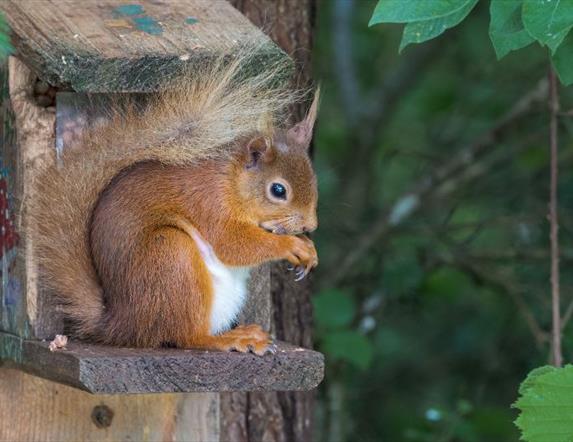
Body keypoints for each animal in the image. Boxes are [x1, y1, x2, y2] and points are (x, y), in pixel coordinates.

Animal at [34, 52, 320, 356]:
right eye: (278, 190)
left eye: (314, 179)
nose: (310, 225)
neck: (231, 181)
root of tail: (122, 324)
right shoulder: (209, 203)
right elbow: (232, 244)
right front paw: (292, 245)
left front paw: (309, 250)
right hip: (172, 255)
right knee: (188, 337)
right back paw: (230, 339)